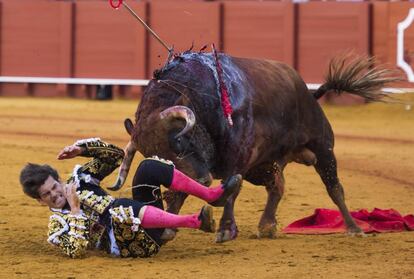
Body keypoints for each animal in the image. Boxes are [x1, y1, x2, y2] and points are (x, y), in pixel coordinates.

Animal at [108, 52, 396, 243]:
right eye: (156, 156)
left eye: (179, 140)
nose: (202, 179)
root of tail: (307, 92)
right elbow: (179, 193)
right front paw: (169, 228)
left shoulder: (239, 158)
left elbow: (230, 193)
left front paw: (225, 229)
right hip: (263, 167)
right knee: (277, 186)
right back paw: (267, 225)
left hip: (323, 148)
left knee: (334, 188)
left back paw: (354, 228)